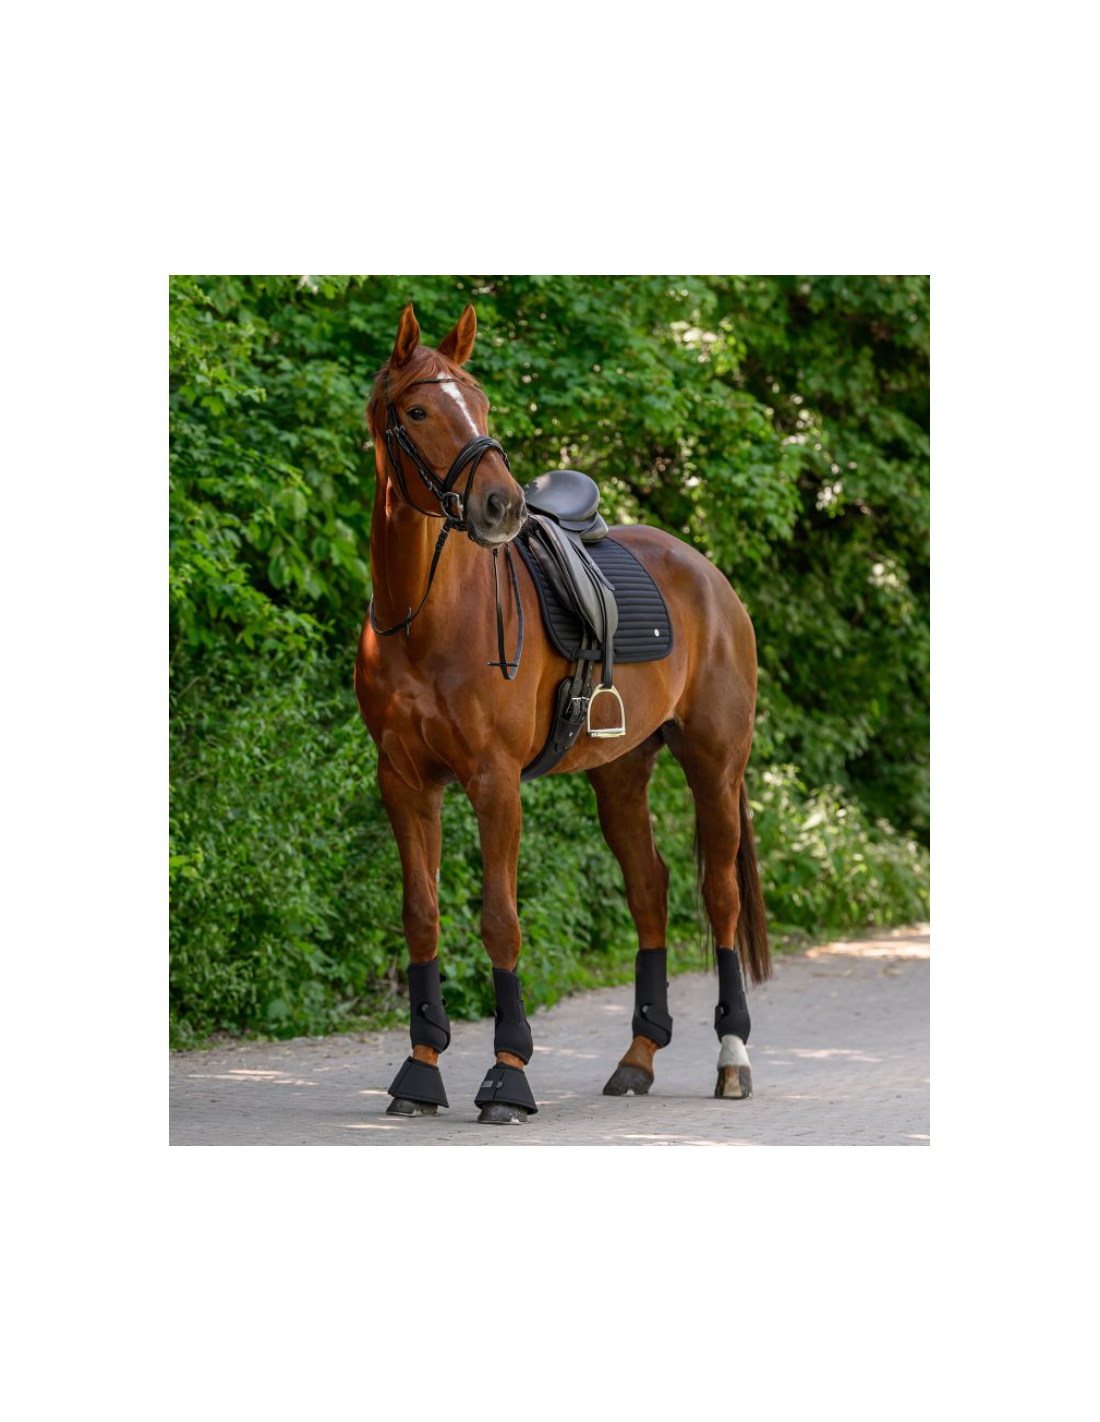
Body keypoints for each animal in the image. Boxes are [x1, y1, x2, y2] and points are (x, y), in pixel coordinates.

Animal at [354, 302, 770, 1125]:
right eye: (417, 411)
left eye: (481, 404)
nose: (503, 505)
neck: (426, 621)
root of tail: (707, 574)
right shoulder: (404, 782)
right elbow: (422, 916)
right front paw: (420, 1072)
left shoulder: (494, 783)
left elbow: (500, 920)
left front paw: (507, 1078)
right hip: (620, 773)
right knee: (650, 889)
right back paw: (637, 1056)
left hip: (713, 765)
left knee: (720, 897)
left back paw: (732, 1057)